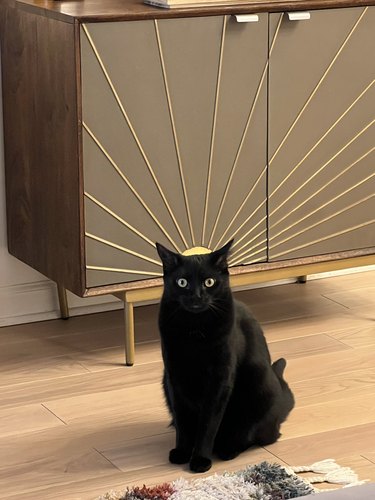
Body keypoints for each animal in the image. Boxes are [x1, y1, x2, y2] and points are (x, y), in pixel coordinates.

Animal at [156, 240, 296, 474]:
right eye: (182, 282)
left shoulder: (219, 379)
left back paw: (228, 448)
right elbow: (183, 420)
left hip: (259, 383)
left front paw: (200, 459)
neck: (195, 330)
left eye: (209, 282)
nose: (197, 296)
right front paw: (183, 451)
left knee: (257, 435)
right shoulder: (175, 377)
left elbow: (208, 423)